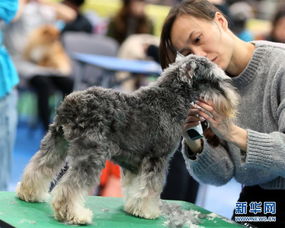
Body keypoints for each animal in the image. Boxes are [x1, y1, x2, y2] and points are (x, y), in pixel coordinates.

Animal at [15, 54, 237, 224]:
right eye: (215, 79)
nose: (232, 99)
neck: (171, 97)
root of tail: (72, 103)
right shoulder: (157, 158)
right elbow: (150, 188)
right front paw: (147, 211)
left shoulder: (134, 163)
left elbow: (135, 187)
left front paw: (133, 207)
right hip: (91, 156)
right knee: (71, 188)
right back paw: (74, 215)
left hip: (56, 143)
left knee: (39, 167)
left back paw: (29, 193)